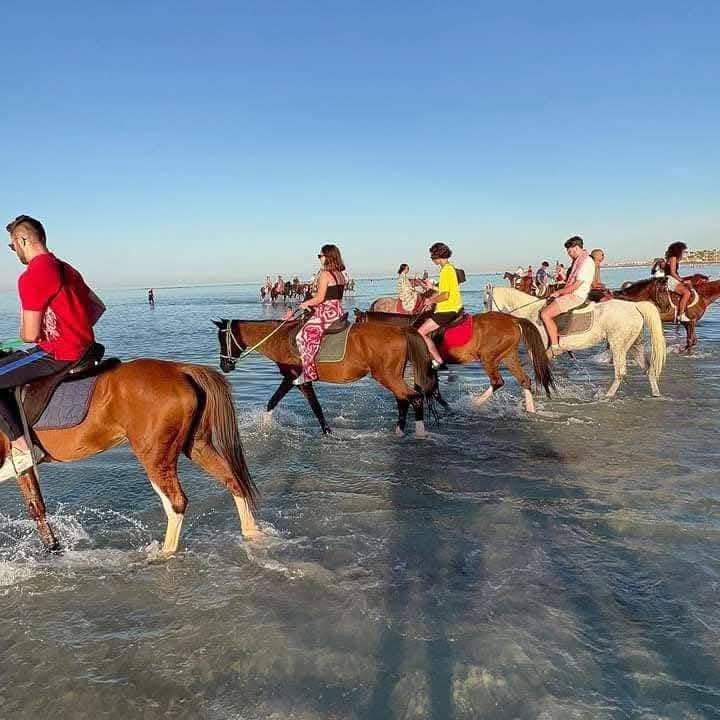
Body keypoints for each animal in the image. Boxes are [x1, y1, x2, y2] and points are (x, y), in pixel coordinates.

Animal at [0, 359, 259, 555]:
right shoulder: (23, 470)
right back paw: (252, 534)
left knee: (176, 502)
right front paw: (53, 548)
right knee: (232, 481)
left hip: (154, 457)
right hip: (196, 445)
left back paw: (164, 554)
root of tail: (179, 369)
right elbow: (37, 507)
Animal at [214, 319, 438, 436]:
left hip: (386, 376)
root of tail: (400, 329)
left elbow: (314, 407)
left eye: (222, 339)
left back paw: (419, 432)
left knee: (414, 398)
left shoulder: (299, 381)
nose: (224, 366)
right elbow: (274, 402)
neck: (279, 338)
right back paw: (400, 431)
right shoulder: (292, 380)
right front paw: (265, 423)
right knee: (404, 399)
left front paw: (327, 431)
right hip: (392, 376)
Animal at [353, 309, 555, 413]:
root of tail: (514, 320)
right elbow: (434, 390)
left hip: (489, 357)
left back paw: (475, 404)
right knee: (524, 381)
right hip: (508, 355)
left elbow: (429, 389)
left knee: (497, 381)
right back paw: (531, 410)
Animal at [485, 286, 666, 397]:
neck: (529, 312)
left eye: (486, 301)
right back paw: (655, 393)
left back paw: (606, 396)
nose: (488, 319)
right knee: (648, 368)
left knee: (620, 372)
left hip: (618, 345)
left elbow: (536, 369)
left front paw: (538, 390)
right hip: (635, 345)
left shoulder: (536, 351)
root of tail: (634, 306)